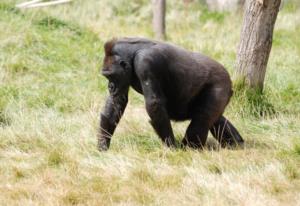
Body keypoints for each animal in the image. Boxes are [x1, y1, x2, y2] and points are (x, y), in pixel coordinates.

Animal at [98, 37, 244, 151]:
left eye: (111, 76)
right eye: (106, 76)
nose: (110, 87)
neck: (131, 53)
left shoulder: (145, 62)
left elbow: (154, 103)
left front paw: (171, 146)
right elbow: (117, 101)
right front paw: (103, 144)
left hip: (221, 83)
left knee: (202, 118)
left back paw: (191, 148)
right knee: (215, 118)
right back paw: (236, 143)